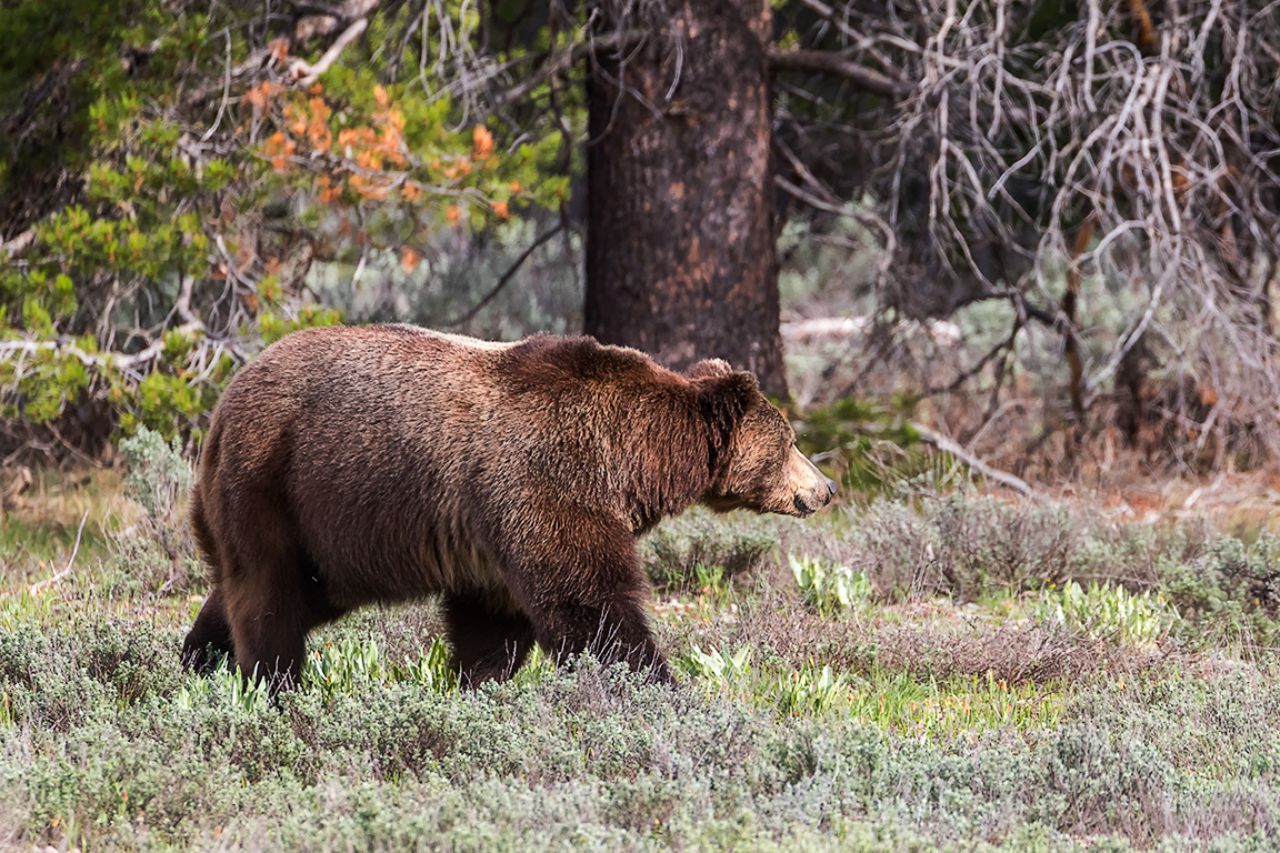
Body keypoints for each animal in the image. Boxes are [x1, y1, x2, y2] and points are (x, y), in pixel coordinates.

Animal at [181, 324, 836, 689]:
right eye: (792, 442)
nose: (826, 487)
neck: (632, 460)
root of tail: (223, 404)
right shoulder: (548, 480)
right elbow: (591, 607)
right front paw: (657, 687)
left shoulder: (497, 535)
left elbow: (494, 623)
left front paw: (476, 687)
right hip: (274, 483)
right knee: (269, 597)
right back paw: (273, 684)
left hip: (329, 537)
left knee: (275, 593)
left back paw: (198, 657)